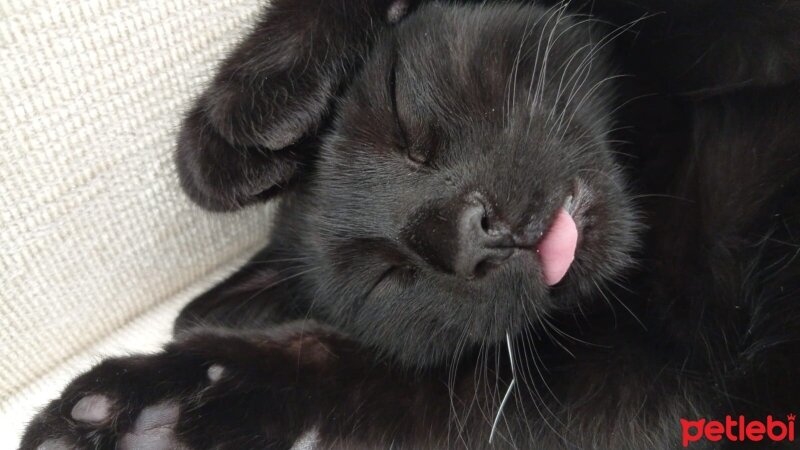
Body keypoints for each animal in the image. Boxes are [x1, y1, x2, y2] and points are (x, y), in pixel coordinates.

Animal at [20, 0, 800, 450]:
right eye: (387, 275)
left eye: (402, 122)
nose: (475, 235)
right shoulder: (648, 383)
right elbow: (421, 383)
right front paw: (166, 403)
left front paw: (233, 129)